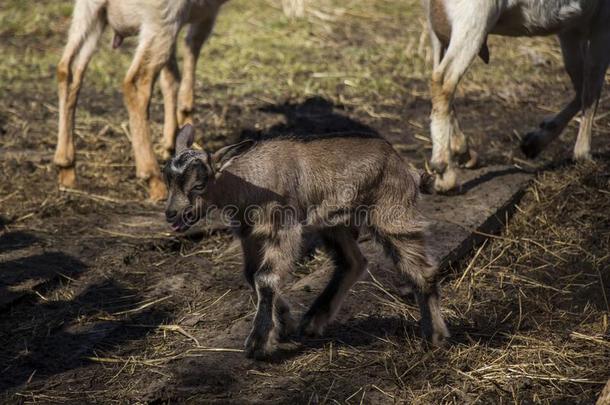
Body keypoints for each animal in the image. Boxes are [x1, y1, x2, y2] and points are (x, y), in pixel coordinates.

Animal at [53, 0, 226, 200]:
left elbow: (171, 77)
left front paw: (172, 142)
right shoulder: (206, 15)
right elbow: (191, 50)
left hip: (88, 12)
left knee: (67, 69)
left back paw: (66, 168)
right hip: (162, 21)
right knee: (135, 81)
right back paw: (153, 178)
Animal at [162, 124, 446, 358]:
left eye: (198, 185)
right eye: (169, 182)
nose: (171, 214)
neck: (249, 181)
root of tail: (404, 164)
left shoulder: (284, 228)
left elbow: (265, 278)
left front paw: (258, 342)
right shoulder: (250, 235)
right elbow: (252, 275)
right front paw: (284, 321)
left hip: (391, 212)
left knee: (421, 269)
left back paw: (435, 336)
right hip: (334, 222)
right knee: (353, 262)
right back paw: (312, 321)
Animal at [422, 0, 608, 192]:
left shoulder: (569, 30)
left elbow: (582, 87)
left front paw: (533, 142)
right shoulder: (602, 23)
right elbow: (592, 87)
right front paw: (584, 156)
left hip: (439, 32)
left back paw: (464, 154)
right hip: (472, 23)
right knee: (442, 81)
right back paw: (445, 174)